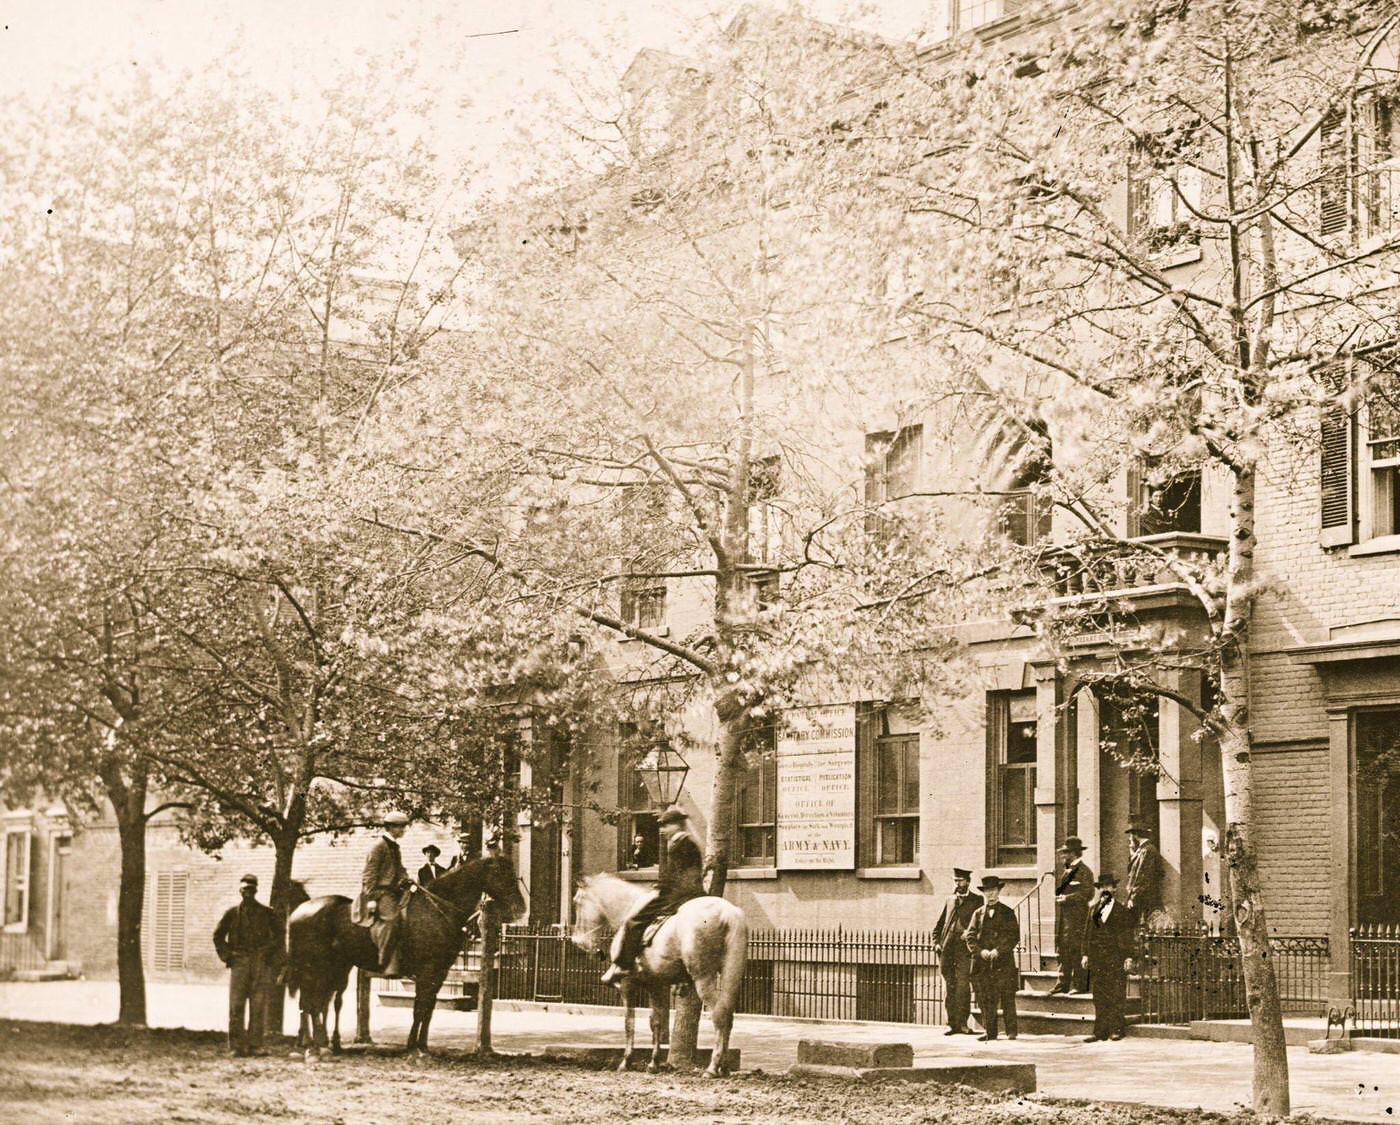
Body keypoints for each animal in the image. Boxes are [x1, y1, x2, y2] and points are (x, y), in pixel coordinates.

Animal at [284, 856, 526, 1057]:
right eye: (502, 874)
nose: (520, 909)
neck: (437, 909)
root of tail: (298, 912)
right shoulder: (427, 971)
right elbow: (419, 1007)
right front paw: (413, 1046)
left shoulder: (439, 973)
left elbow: (428, 1008)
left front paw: (422, 1045)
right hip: (315, 968)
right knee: (311, 1003)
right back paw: (316, 1045)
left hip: (332, 968)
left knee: (317, 1002)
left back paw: (319, 1042)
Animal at [568, 873, 750, 1074]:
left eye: (576, 902)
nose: (577, 942)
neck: (626, 909)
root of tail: (729, 913)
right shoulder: (655, 985)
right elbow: (656, 1022)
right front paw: (653, 1063)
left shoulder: (626, 985)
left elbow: (629, 1023)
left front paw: (626, 1061)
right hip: (731, 972)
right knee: (727, 1014)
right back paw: (723, 1066)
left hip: (704, 977)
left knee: (719, 1014)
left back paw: (712, 1067)